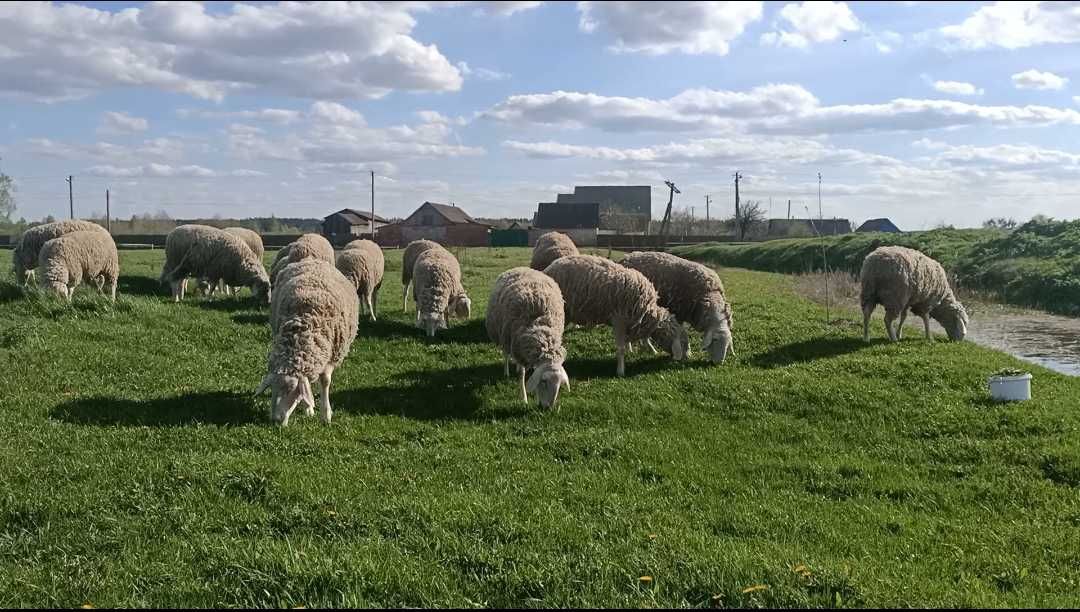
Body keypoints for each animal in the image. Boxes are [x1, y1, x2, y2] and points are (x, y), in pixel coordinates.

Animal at [254, 259, 360, 425]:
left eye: (291, 389)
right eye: (272, 389)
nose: (276, 420)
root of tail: (311, 259)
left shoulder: (331, 355)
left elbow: (325, 382)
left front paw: (326, 414)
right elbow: (307, 388)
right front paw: (308, 408)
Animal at [488, 266, 574, 408]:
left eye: (559, 384)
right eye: (543, 381)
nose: (548, 408)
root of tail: (521, 267)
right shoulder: (516, 343)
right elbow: (522, 374)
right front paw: (524, 398)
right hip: (504, 335)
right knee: (506, 354)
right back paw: (506, 372)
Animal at [544, 254, 686, 377]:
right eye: (671, 335)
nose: (677, 358)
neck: (645, 310)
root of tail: (549, 268)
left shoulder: (629, 322)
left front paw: (648, 349)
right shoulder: (619, 320)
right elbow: (621, 348)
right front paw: (621, 371)